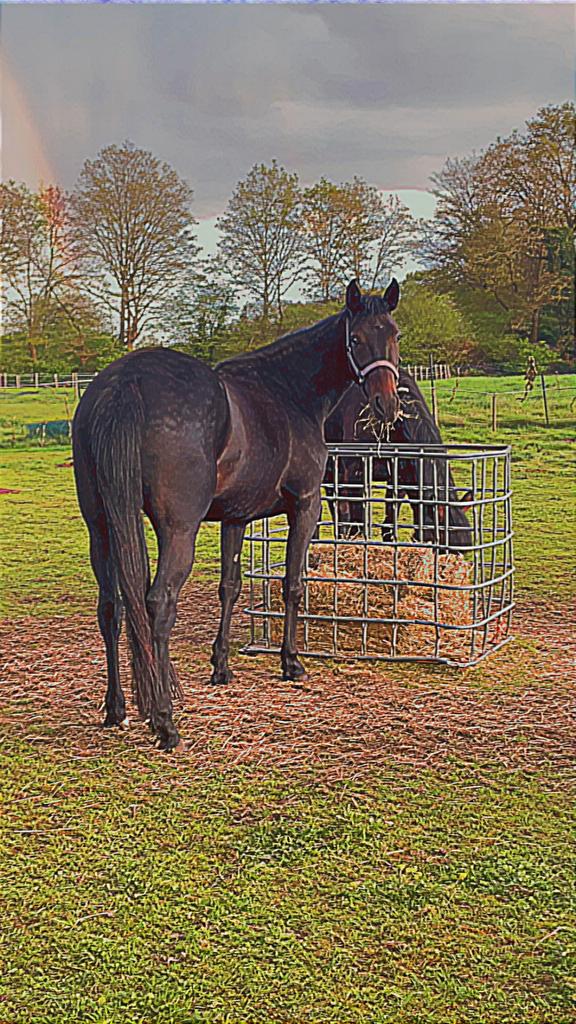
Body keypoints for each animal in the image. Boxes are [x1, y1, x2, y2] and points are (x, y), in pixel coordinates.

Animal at [72, 279, 402, 751]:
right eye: (355, 339)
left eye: (394, 335)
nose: (385, 405)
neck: (288, 392)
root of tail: (124, 383)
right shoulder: (305, 506)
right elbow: (292, 585)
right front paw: (291, 663)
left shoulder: (235, 518)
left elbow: (229, 588)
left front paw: (221, 667)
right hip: (179, 532)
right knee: (157, 605)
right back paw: (165, 720)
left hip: (100, 528)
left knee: (111, 608)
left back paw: (117, 709)